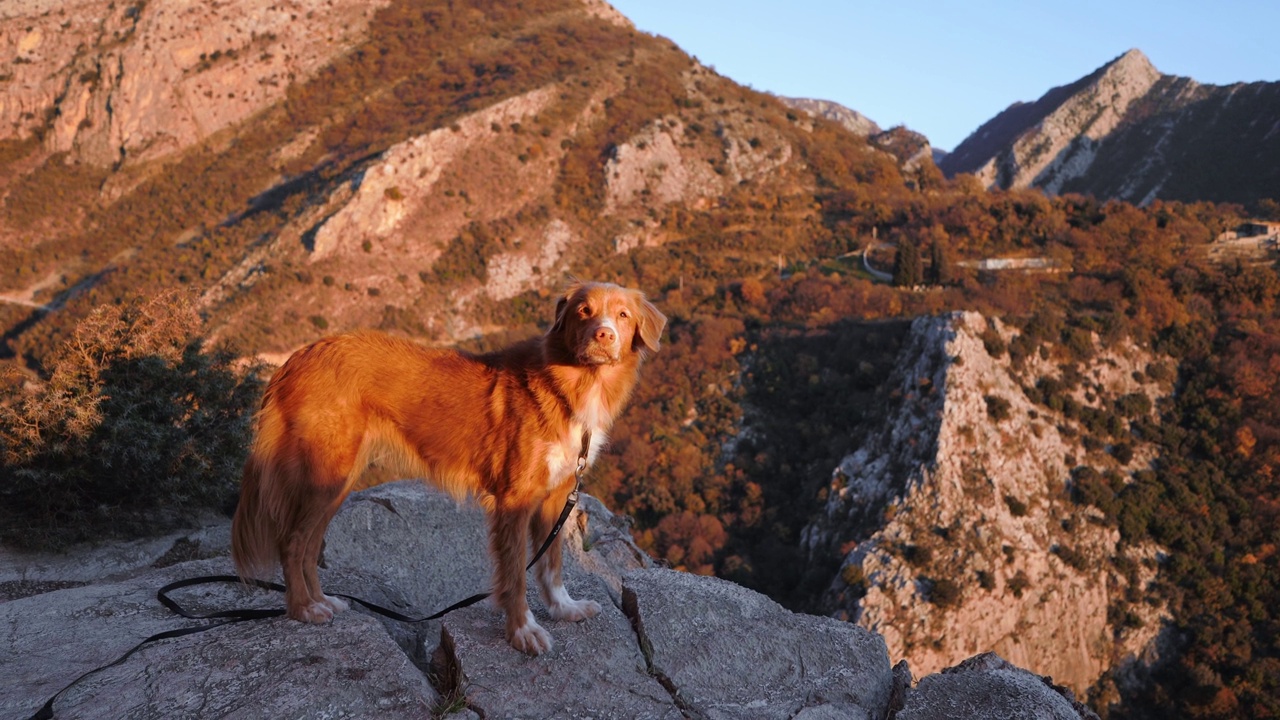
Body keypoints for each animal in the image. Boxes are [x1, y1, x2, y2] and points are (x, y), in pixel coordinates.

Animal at [232, 283, 670, 653]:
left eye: (623, 315)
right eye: (584, 311)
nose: (604, 335)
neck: (570, 385)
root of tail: (299, 356)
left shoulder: (557, 495)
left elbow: (552, 564)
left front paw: (564, 608)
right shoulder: (515, 499)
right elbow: (516, 574)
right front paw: (522, 631)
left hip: (338, 479)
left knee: (308, 545)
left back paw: (322, 600)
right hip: (326, 473)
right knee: (292, 542)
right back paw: (303, 609)